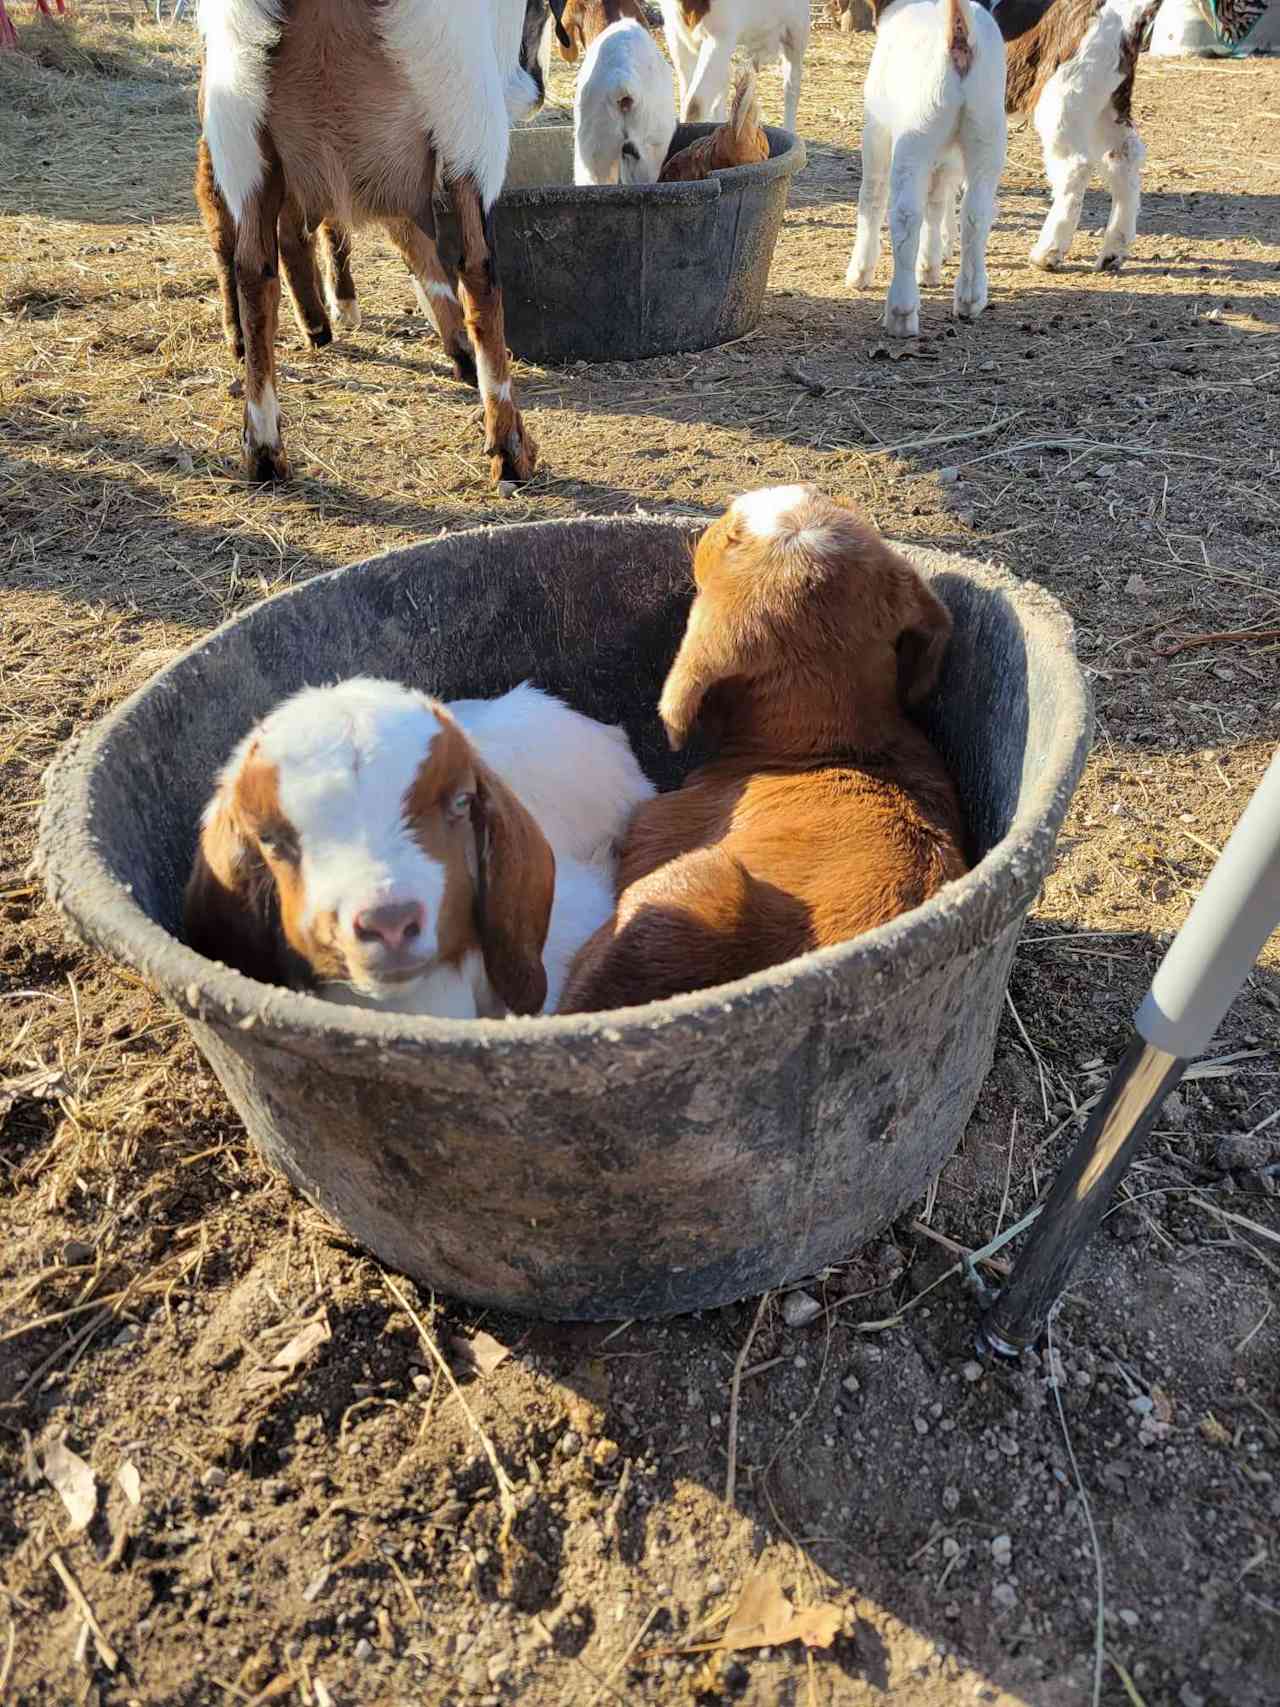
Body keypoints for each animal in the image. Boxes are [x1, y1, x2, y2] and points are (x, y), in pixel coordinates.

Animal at [662, 0, 812, 134]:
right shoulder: (676, 34)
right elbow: (687, 96)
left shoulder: (720, 36)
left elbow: (694, 105)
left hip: (796, 31)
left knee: (792, 86)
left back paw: (789, 131)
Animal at [853, 0, 1010, 336]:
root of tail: (959, 35)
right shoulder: (949, 157)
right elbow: (938, 202)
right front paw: (929, 266)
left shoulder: (877, 129)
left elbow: (872, 194)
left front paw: (859, 272)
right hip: (986, 130)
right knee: (976, 213)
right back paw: (970, 298)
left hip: (916, 132)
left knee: (905, 214)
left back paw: (901, 312)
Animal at [996, 0, 1167, 269]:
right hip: (1107, 103)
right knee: (1124, 156)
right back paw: (1112, 252)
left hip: (1064, 97)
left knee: (1074, 166)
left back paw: (1048, 252)